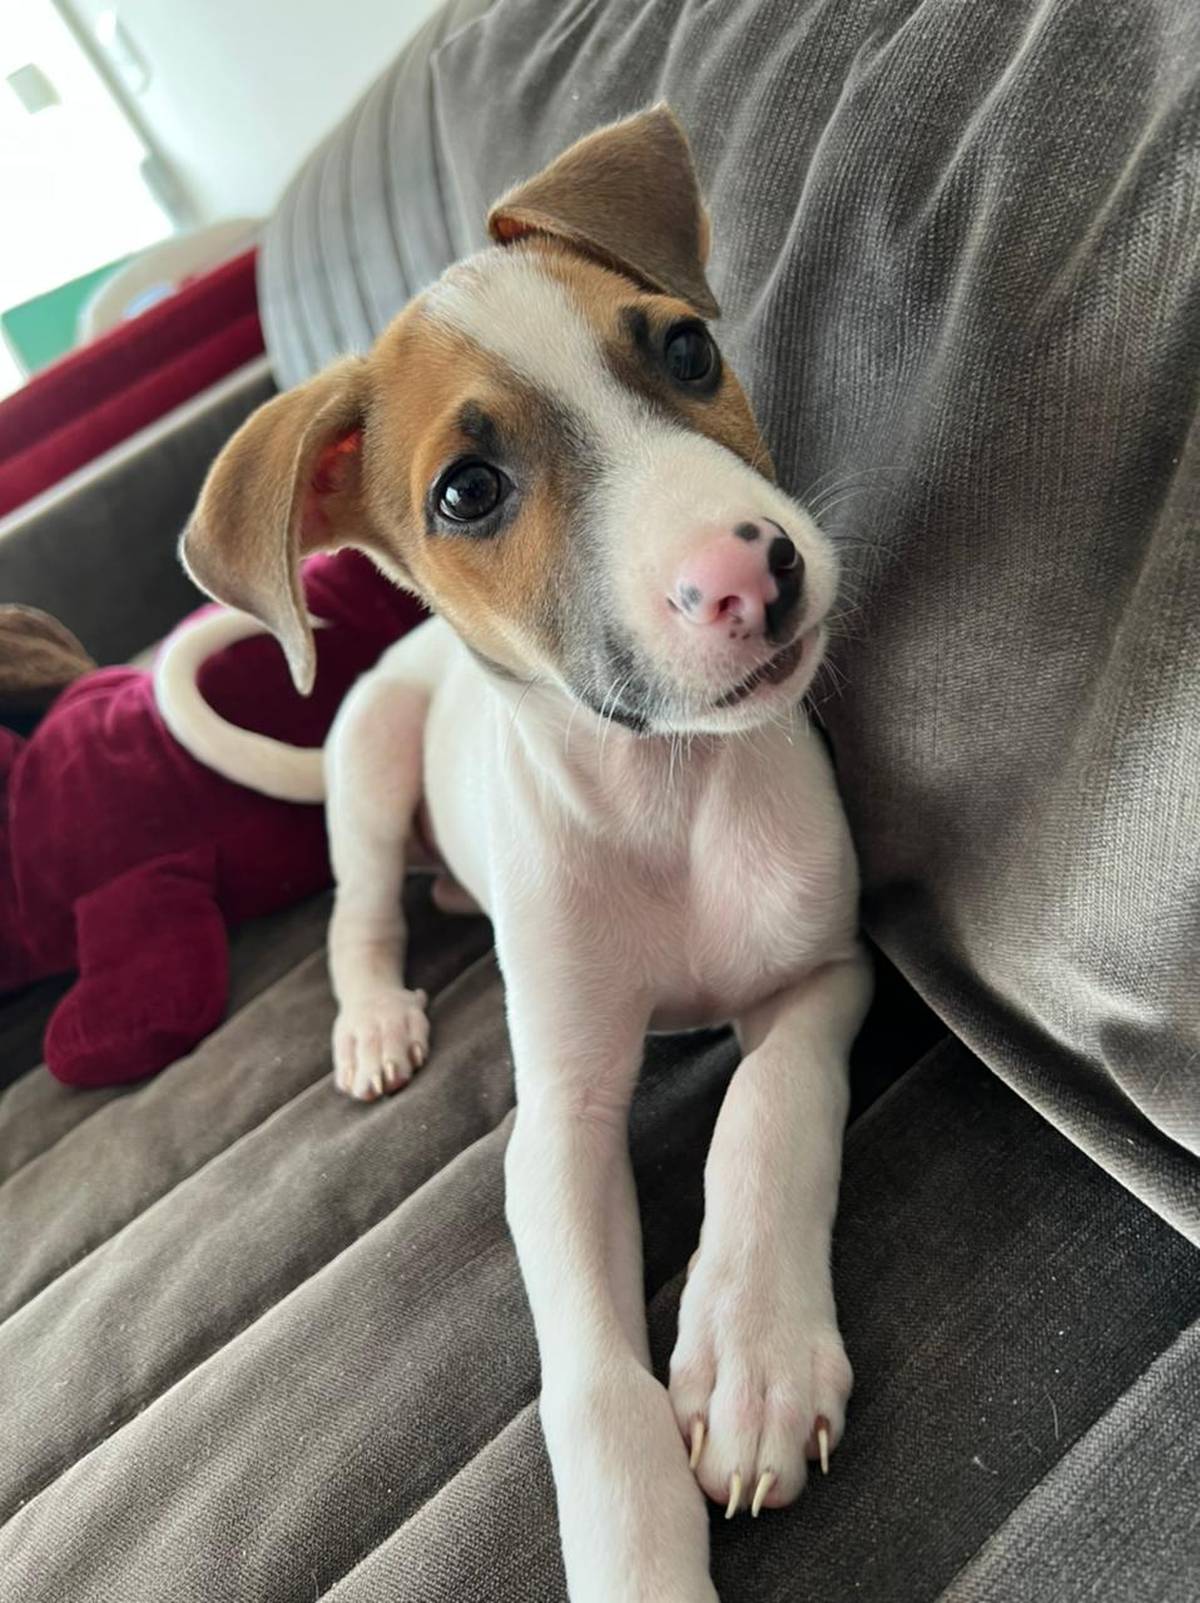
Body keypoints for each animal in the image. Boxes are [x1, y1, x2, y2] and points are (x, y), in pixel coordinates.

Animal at [157, 105, 870, 1603]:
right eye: (469, 491)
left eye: (686, 351)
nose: (753, 570)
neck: (666, 794)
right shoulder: (558, 1120)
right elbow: (589, 1385)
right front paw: (641, 1557)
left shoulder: (823, 972)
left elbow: (766, 1116)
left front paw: (755, 1353)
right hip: (368, 761)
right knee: (358, 913)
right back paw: (375, 1018)